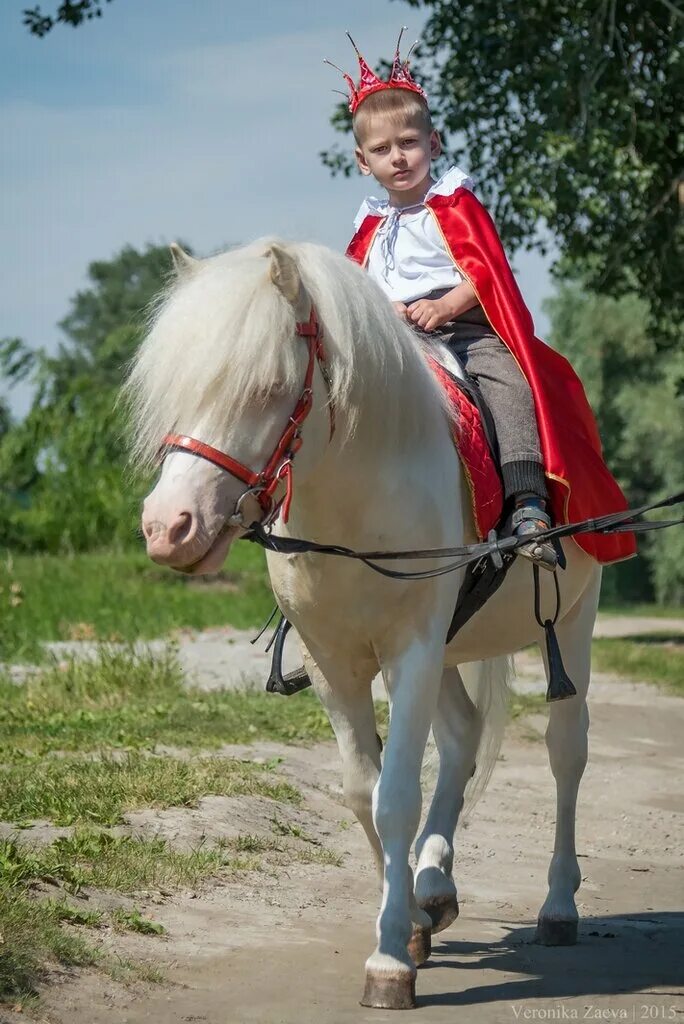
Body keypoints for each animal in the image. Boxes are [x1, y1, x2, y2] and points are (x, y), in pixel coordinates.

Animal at [125, 237, 602, 1007]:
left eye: (267, 388)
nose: (170, 528)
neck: (359, 492)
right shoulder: (335, 661)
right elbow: (363, 792)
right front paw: (407, 922)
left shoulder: (410, 651)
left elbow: (396, 796)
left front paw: (388, 963)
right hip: (449, 646)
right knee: (463, 736)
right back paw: (434, 885)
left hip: (574, 620)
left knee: (566, 752)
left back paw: (558, 906)